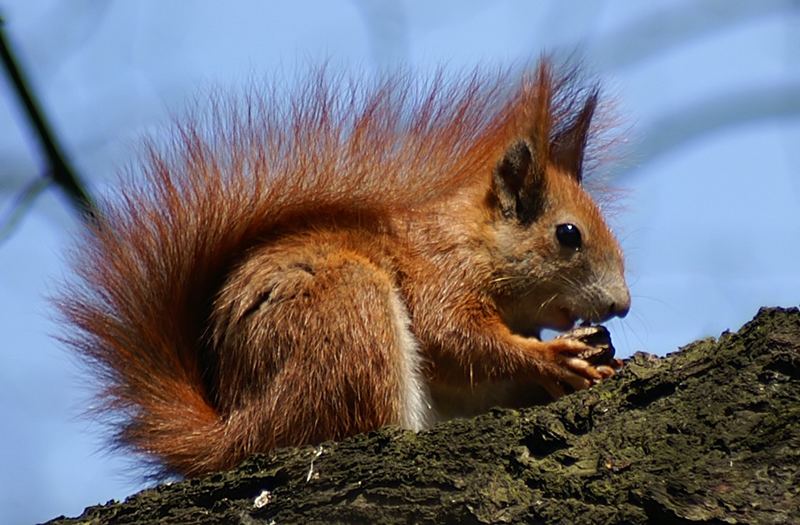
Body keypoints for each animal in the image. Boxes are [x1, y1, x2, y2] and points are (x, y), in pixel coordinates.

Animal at [59, 59, 628, 476]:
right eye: (568, 234)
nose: (621, 305)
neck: (477, 243)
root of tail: (240, 430)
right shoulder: (440, 275)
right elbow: (455, 338)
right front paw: (553, 358)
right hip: (350, 314)